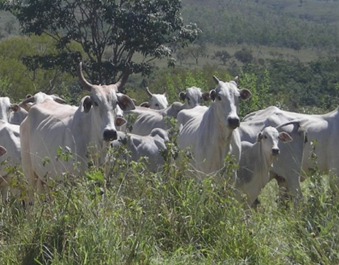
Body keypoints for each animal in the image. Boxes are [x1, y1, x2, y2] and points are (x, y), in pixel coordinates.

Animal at [20, 62, 135, 202]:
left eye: (116, 102)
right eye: (95, 103)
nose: (110, 133)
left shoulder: (102, 180)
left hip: (45, 180)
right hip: (30, 175)